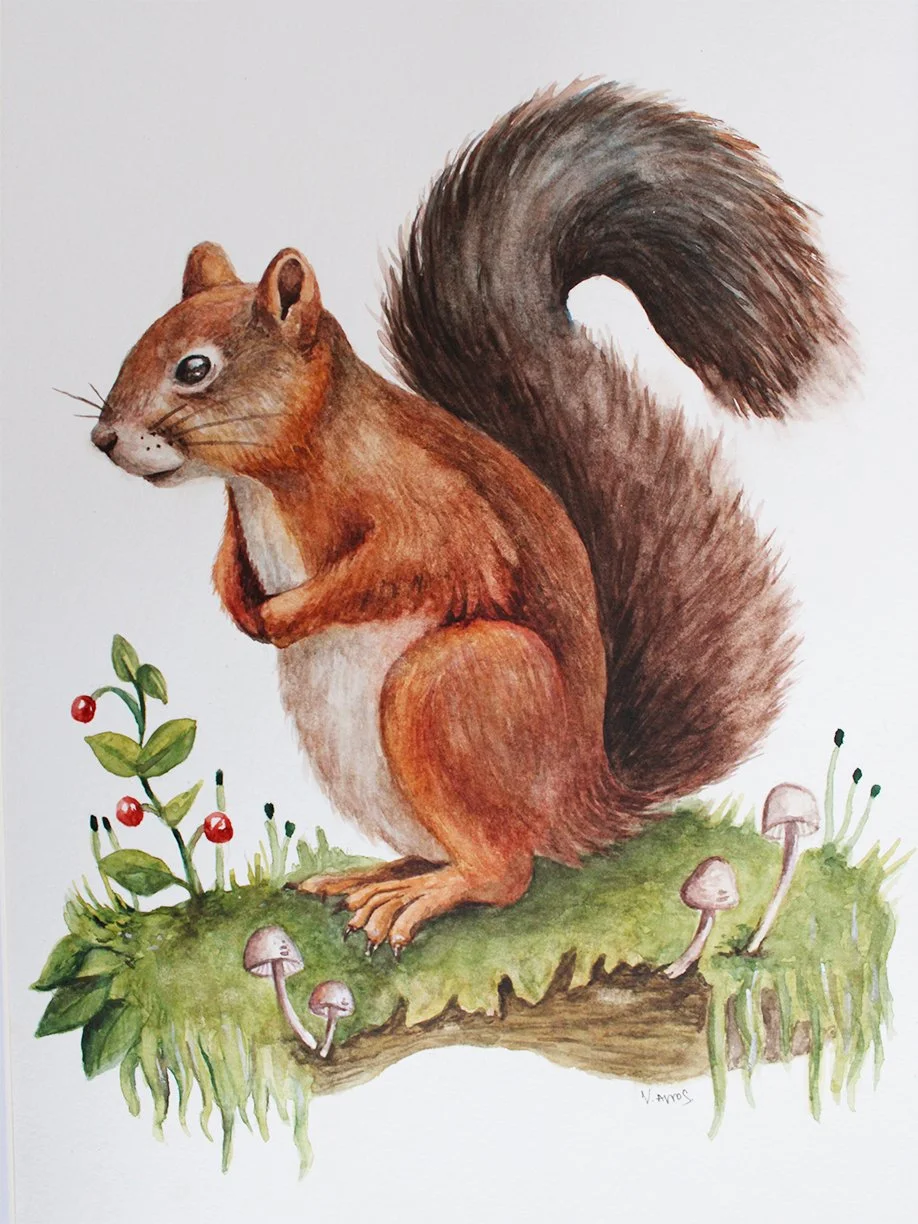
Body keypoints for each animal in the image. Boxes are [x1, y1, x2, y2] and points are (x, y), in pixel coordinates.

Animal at [90, 82, 852, 954]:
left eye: (194, 369)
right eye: (137, 345)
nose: (104, 438)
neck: (262, 483)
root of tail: (586, 802)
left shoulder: (425, 501)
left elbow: (421, 558)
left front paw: (285, 614)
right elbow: (229, 560)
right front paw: (239, 600)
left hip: (451, 686)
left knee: (505, 870)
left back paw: (418, 896)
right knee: (447, 850)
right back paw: (371, 875)